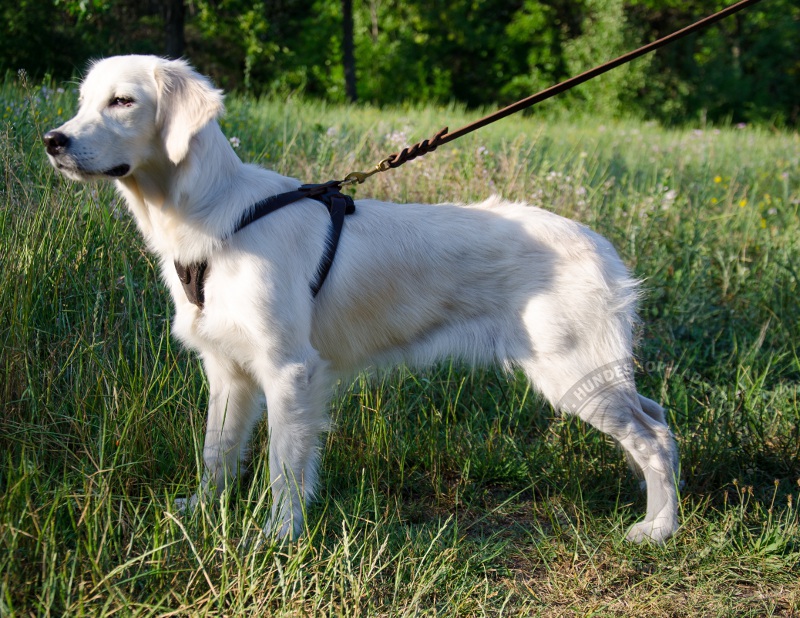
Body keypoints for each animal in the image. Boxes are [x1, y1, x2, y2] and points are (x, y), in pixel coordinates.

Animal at [43, 55, 680, 540]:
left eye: (122, 101)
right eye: (83, 101)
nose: (53, 140)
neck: (216, 215)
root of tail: (599, 243)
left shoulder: (290, 369)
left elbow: (284, 465)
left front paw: (279, 535)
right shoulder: (227, 369)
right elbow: (217, 452)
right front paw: (201, 510)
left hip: (574, 372)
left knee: (654, 438)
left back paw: (658, 529)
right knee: (658, 418)